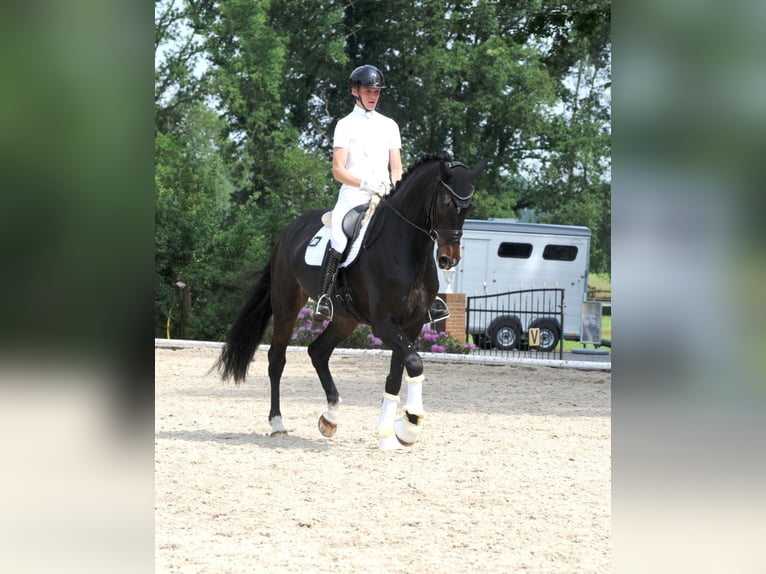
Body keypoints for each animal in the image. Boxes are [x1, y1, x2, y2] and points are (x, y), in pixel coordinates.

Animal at [216, 155, 492, 452]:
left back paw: (330, 417)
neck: (408, 251)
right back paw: (278, 424)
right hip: (287, 305)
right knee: (277, 359)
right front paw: (410, 424)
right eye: (444, 202)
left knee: (318, 351)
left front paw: (390, 434)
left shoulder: (413, 323)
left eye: (469, 205)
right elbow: (415, 363)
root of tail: (288, 231)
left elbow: (397, 374)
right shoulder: (384, 324)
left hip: (345, 319)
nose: (448, 259)